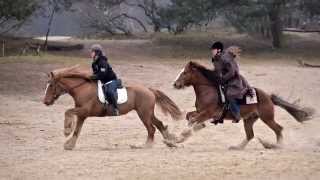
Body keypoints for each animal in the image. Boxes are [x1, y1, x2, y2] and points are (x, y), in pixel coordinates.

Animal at [43, 65, 182, 150]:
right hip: (147, 113)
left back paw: (146, 145)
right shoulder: (82, 114)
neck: (82, 89)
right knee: (159, 124)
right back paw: (170, 141)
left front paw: (66, 130)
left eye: (51, 85)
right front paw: (70, 144)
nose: (45, 101)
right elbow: (77, 130)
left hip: (143, 114)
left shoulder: (84, 110)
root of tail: (149, 90)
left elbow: (67, 112)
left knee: (151, 129)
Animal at [166, 61, 314, 149]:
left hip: (267, 118)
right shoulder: (200, 112)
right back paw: (237, 147)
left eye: (185, 72)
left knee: (278, 129)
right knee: (250, 135)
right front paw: (178, 138)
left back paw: (276, 146)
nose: (175, 84)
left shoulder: (207, 113)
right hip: (249, 119)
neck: (208, 90)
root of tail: (268, 96)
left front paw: (177, 139)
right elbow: (189, 117)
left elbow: (192, 120)